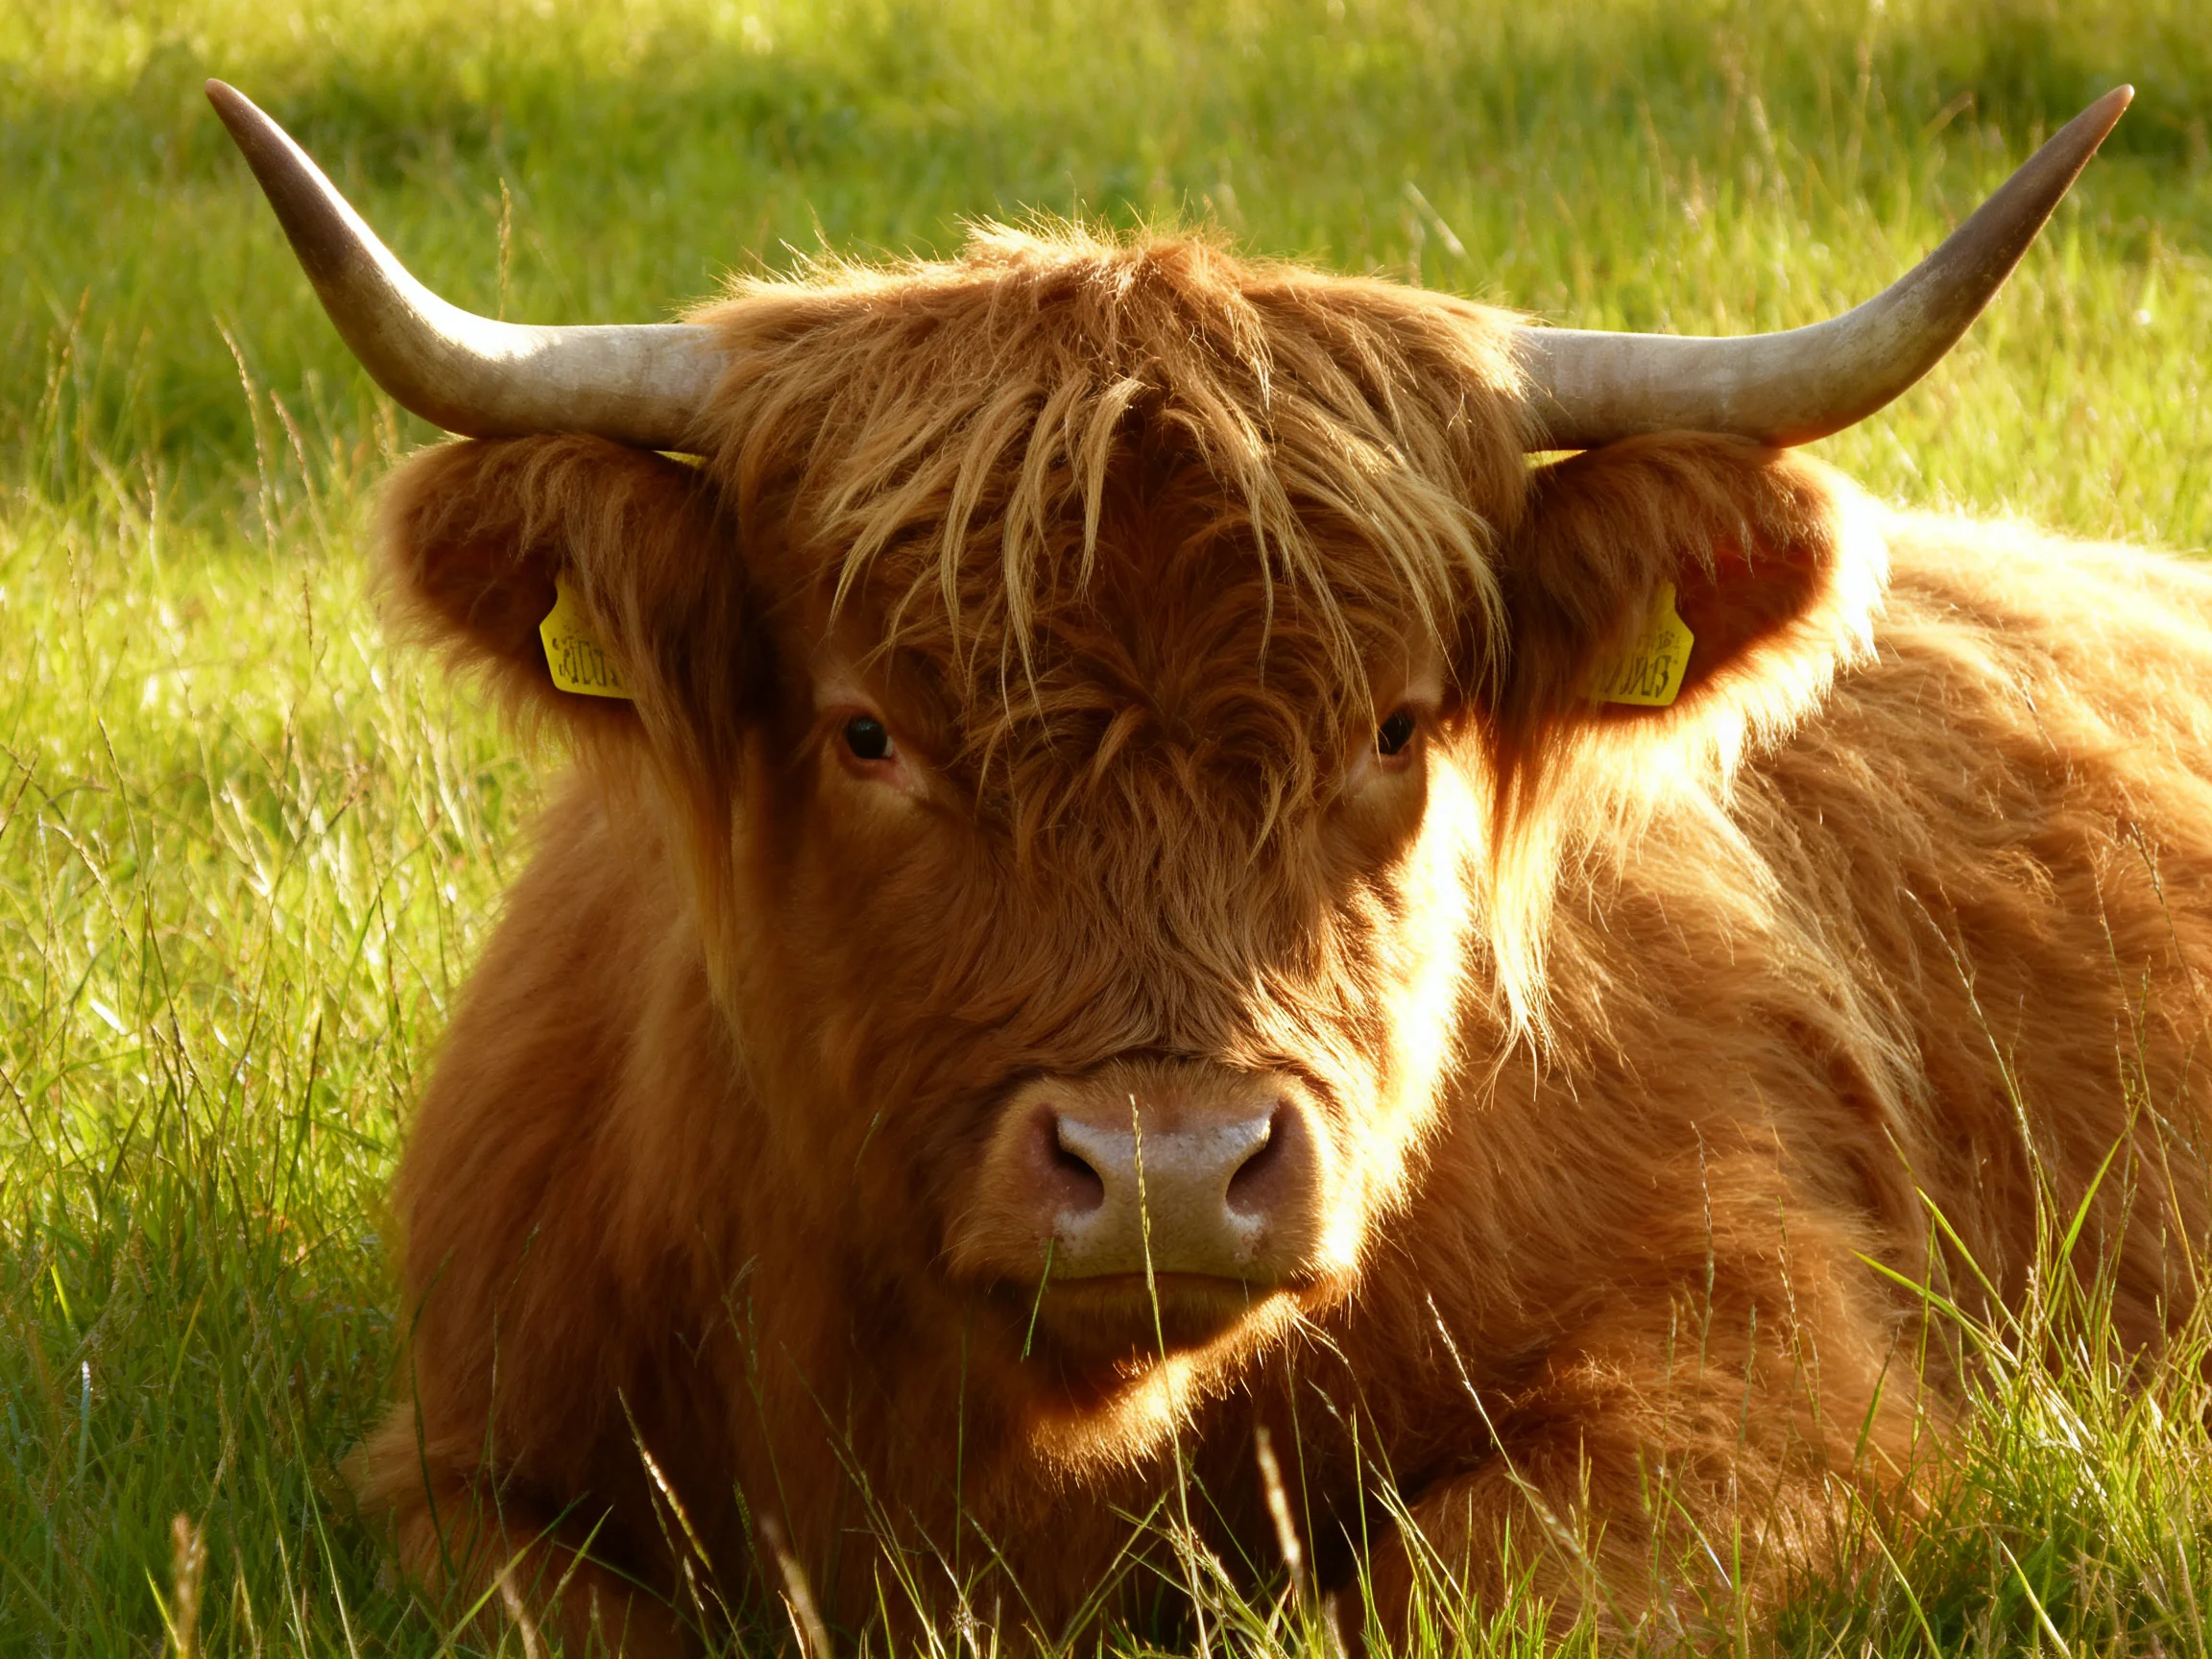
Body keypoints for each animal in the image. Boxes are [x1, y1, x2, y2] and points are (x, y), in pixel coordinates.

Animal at [208, 80, 2206, 1652]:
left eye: (1393, 728)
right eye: (866, 732)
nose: (1163, 1170)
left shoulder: (1767, 1385)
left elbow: (1433, 1594)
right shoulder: (459, 1463)